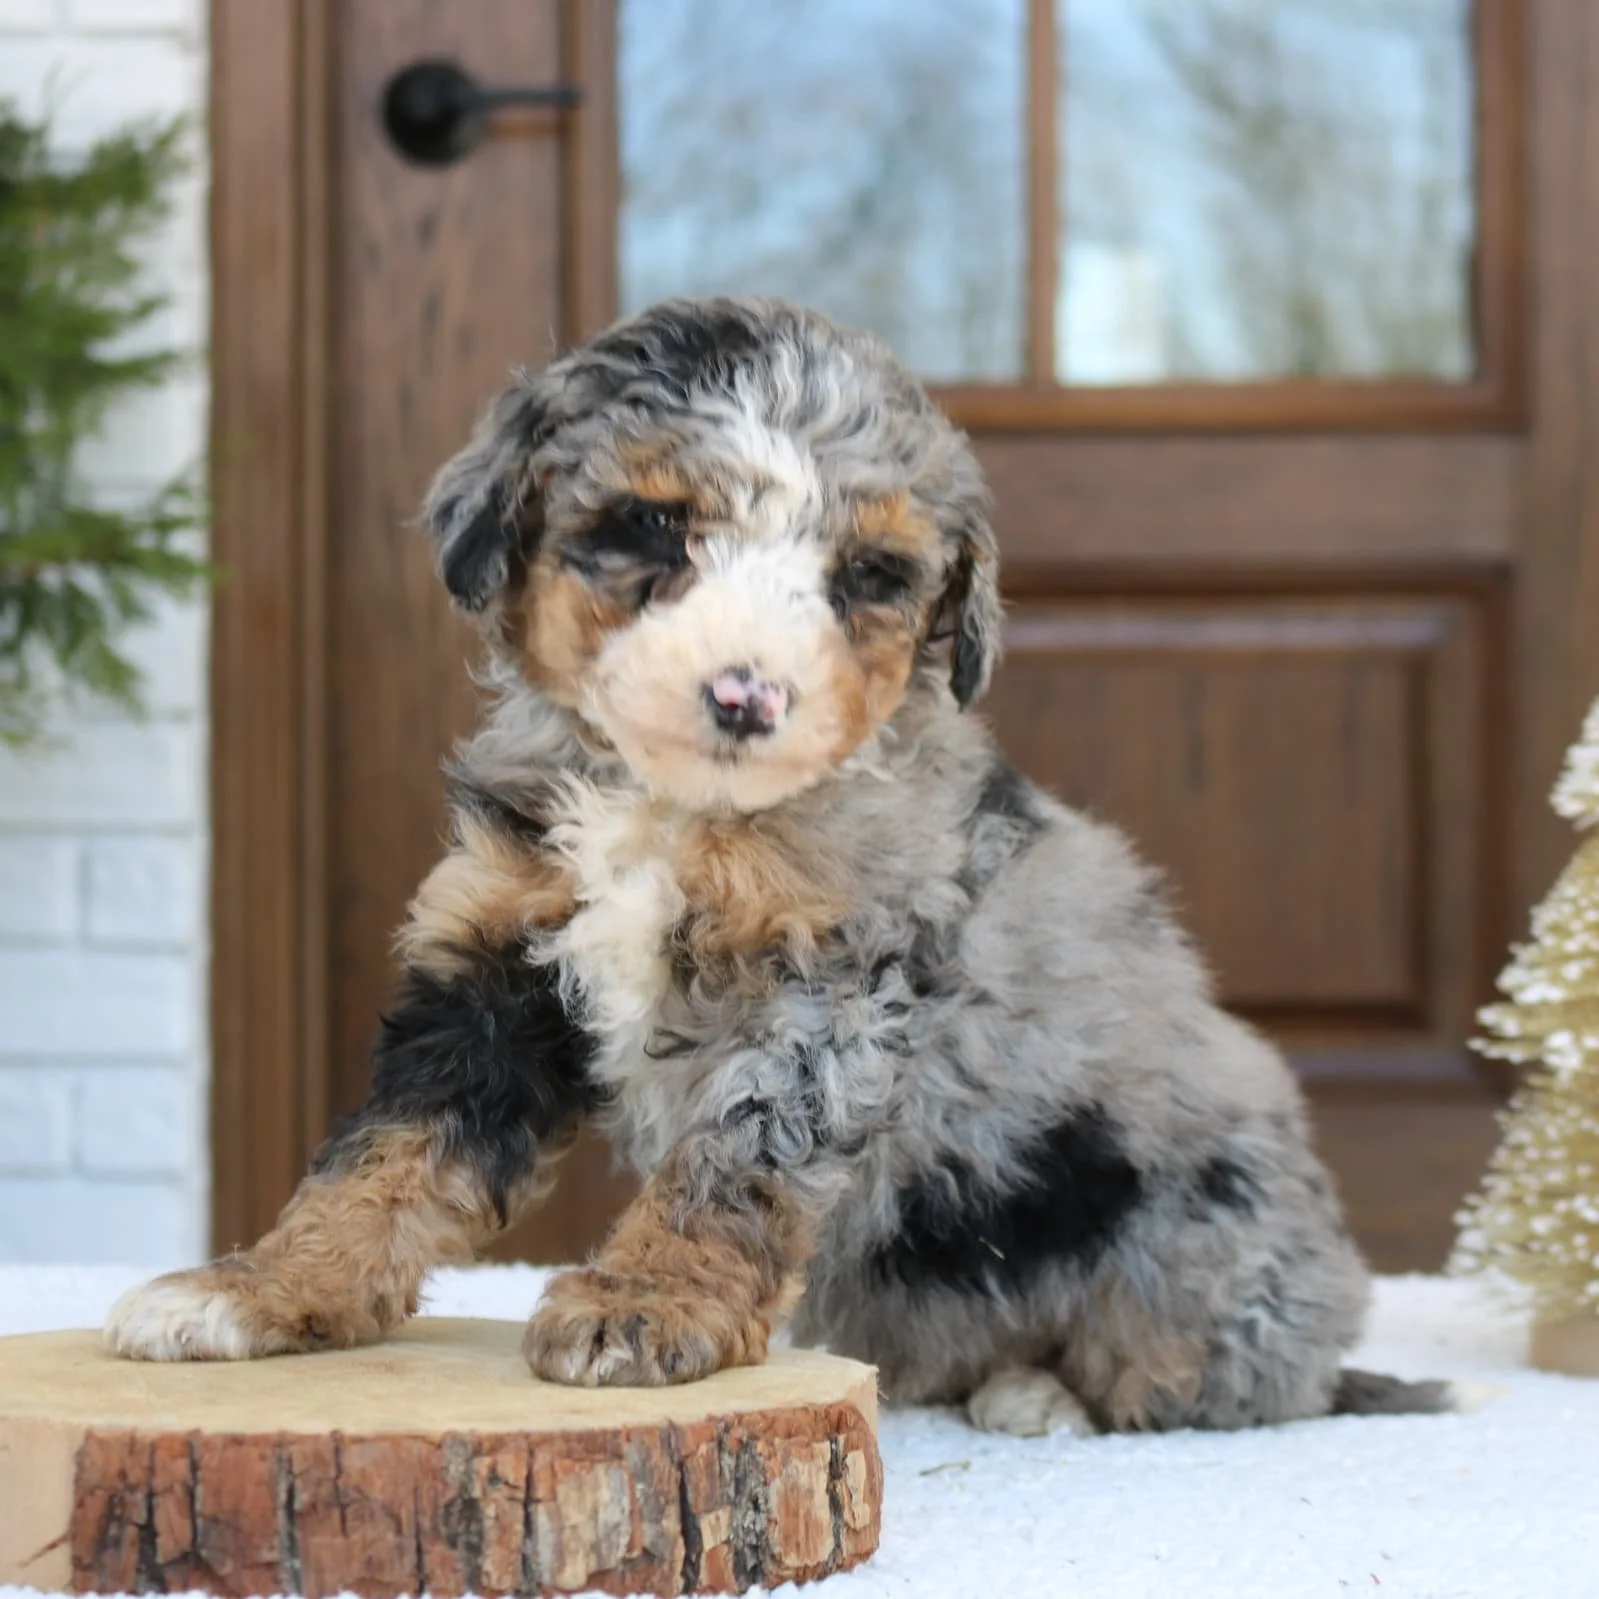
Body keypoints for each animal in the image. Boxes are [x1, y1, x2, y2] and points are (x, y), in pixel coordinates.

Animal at [106, 296, 1462, 1435]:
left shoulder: (829, 985)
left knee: (1192, 1383)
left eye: (866, 575)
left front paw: (641, 1306)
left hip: (1189, 1252)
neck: (678, 808)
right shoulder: (495, 961)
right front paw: (250, 1290)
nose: (747, 696)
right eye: (652, 525)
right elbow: (383, 1154)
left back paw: (1043, 1398)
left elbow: (733, 1156)